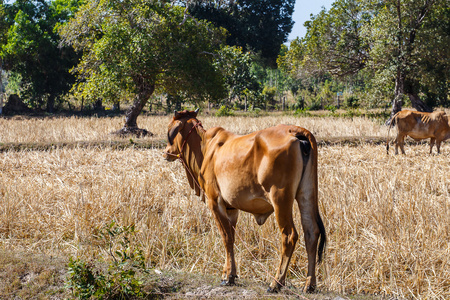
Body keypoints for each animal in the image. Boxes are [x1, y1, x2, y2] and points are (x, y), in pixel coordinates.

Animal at [163, 109, 326, 292]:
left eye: (169, 130)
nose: (166, 152)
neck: (205, 148)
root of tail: (295, 131)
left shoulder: (215, 202)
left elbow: (226, 237)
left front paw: (227, 277)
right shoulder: (231, 208)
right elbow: (232, 238)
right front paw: (230, 274)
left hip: (280, 199)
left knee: (289, 236)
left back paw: (275, 283)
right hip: (307, 194)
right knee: (311, 233)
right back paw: (309, 284)